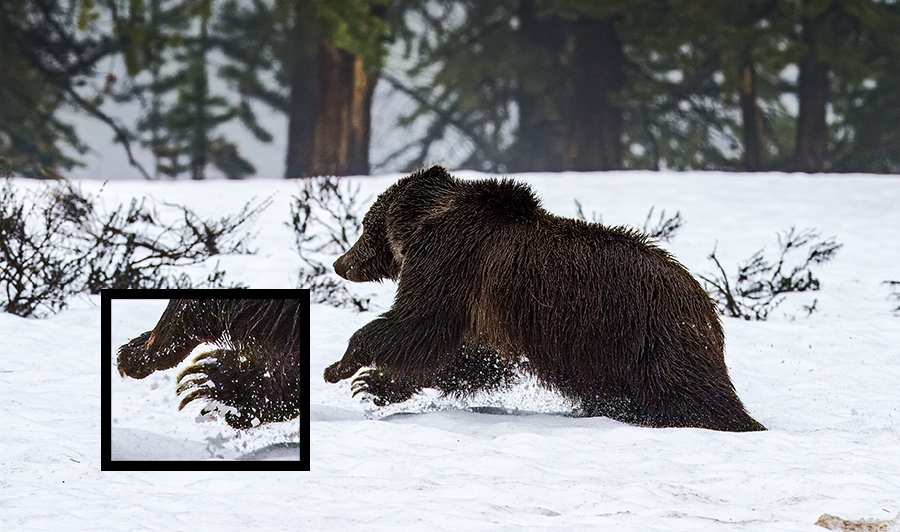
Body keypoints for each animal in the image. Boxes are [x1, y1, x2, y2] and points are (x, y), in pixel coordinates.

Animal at [326, 166, 768, 432]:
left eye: (364, 225)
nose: (340, 263)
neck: (428, 222)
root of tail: (707, 304)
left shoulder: (452, 263)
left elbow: (419, 324)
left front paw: (346, 367)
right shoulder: (485, 307)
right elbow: (470, 356)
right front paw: (376, 385)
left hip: (646, 336)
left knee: (690, 392)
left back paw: (734, 421)